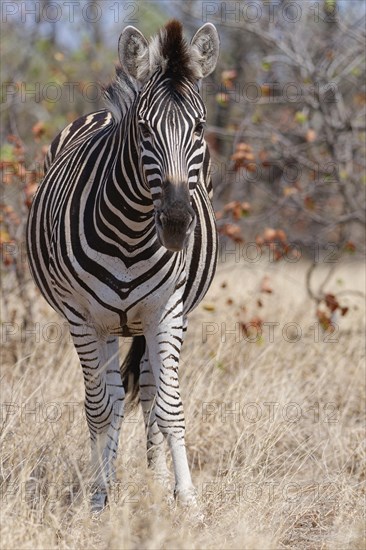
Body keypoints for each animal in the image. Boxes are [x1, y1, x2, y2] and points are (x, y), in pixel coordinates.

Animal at [27, 21, 220, 512]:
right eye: (145, 129)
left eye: (199, 126)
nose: (176, 223)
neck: (131, 233)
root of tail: (98, 114)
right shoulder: (82, 318)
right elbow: (100, 409)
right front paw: (98, 498)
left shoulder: (166, 312)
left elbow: (170, 408)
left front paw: (187, 502)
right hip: (107, 325)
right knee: (113, 397)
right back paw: (109, 482)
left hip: (159, 321)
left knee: (149, 393)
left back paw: (156, 482)